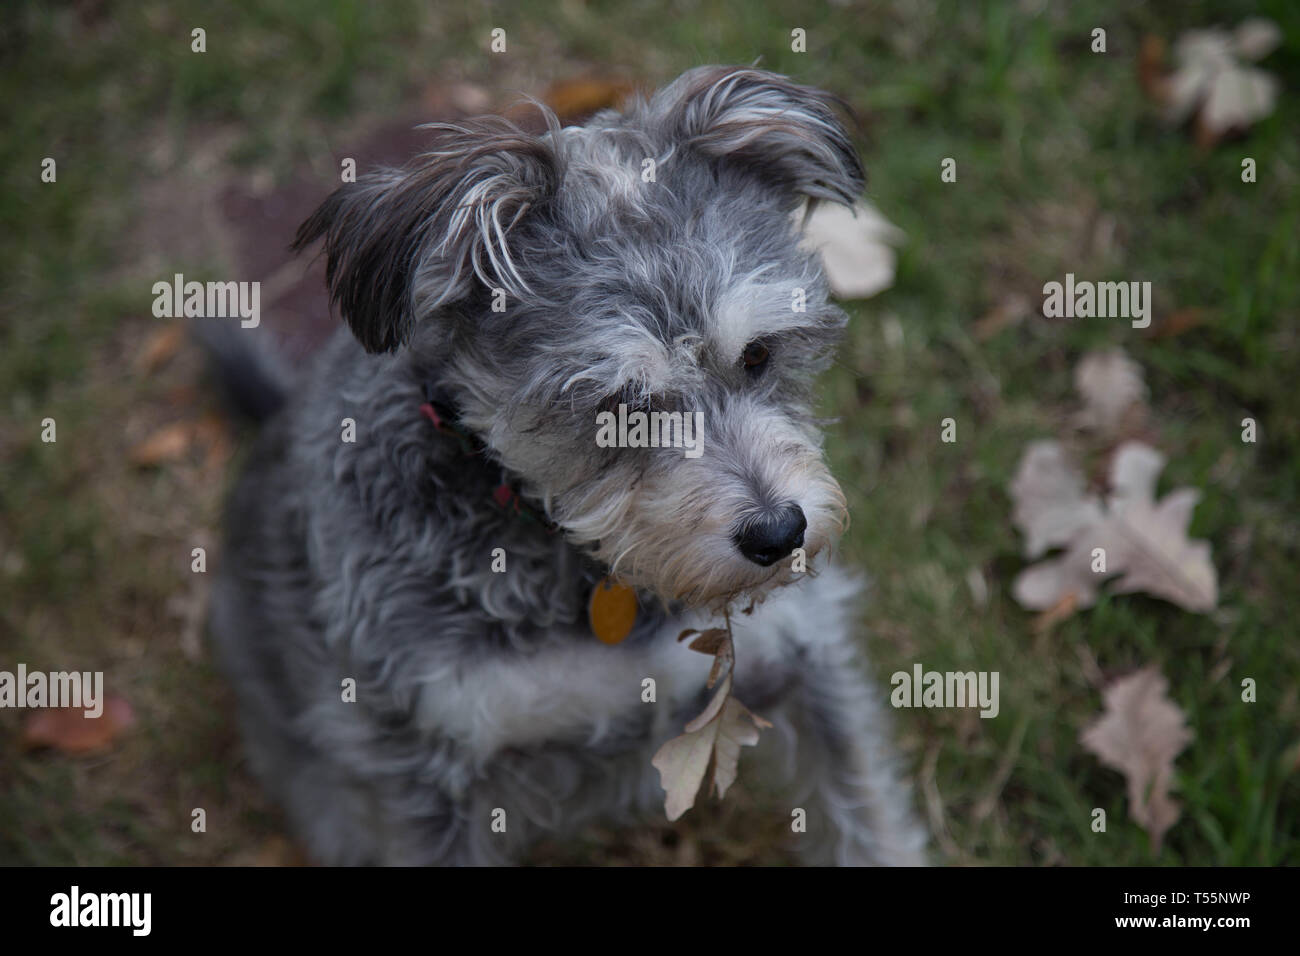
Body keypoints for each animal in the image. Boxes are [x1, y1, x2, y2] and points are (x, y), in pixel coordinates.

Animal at [205, 63, 925, 863]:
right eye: (618, 403)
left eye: (759, 353)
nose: (779, 535)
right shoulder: (423, 772)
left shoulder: (804, 662)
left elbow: (868, 820)